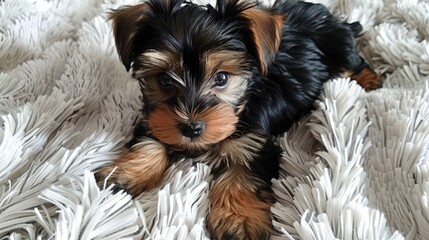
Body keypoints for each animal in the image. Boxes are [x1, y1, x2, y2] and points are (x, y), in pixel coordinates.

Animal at [97, 0, 382, 239]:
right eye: (165, 79)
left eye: (221, 78)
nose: (190, 127)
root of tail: (332, 18)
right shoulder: (156, 119)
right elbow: (150, 141)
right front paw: (124, 172)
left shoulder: (253, 141)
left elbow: (242, 176)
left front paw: (239, 221)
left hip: (339, 45)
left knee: (353, 62)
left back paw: (369, 79)